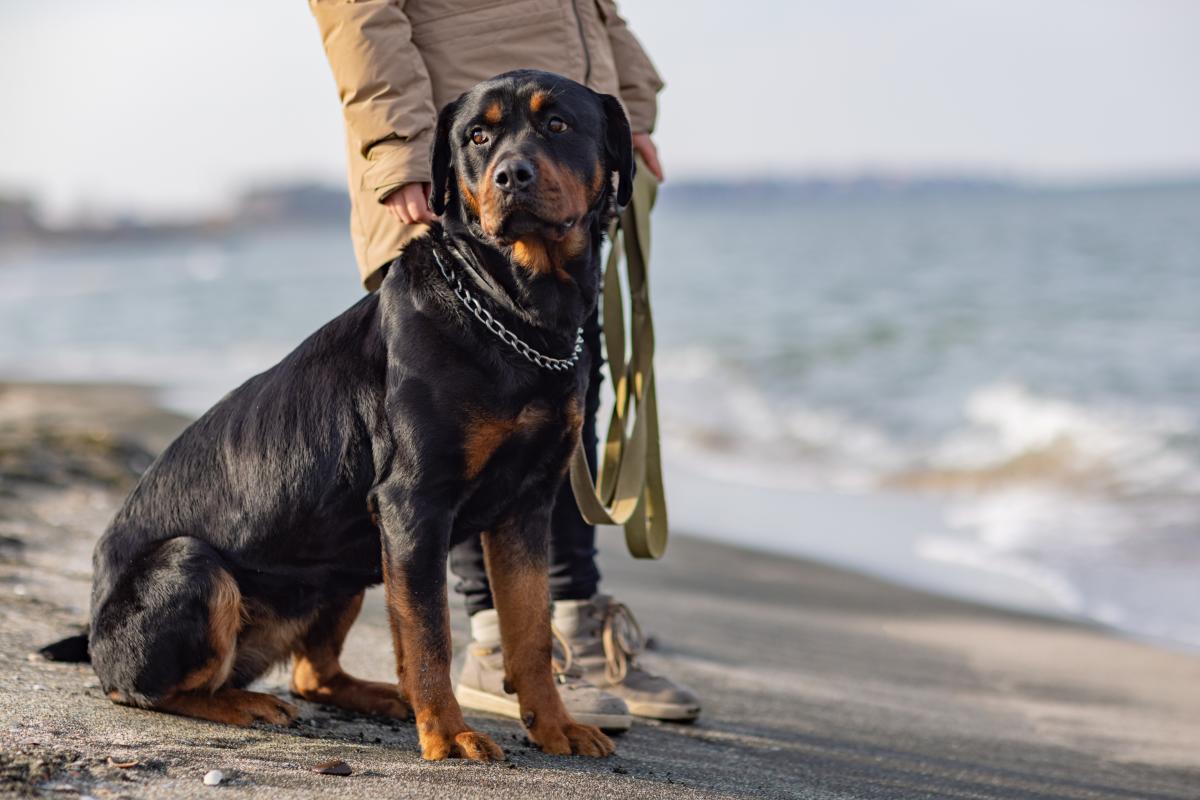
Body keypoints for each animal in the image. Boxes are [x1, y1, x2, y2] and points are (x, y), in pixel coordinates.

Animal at [77, 70, 638, 762]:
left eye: (558, 124)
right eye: (478, 137)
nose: (512, 175)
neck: (512, 310)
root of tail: (92, 636)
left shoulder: (527, 508)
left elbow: (530, 630)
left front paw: (555, 725)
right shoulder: (412, 503)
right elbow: (430, 636)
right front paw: (448, 733)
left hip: (347, 567)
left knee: (312, 673)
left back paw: (375, 695)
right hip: (193, 567)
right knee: (146, 689)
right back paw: (241, 703)